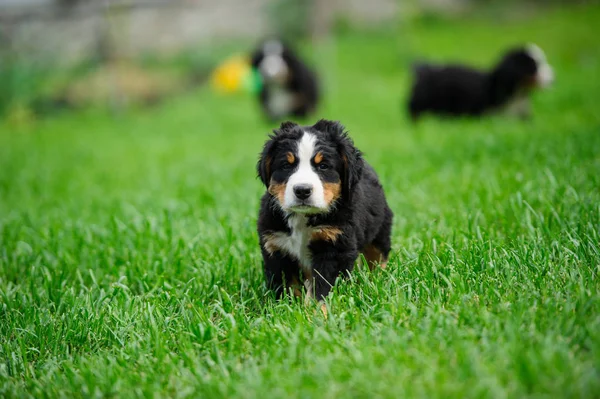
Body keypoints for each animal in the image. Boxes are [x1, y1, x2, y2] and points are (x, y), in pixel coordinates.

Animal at [256, 119, 394, 304]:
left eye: (323, 166)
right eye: (286, 165)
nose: (302, 190)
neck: (302, 218)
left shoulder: (334, 246)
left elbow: (321, 287)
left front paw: (314, 310)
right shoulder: (276, 247)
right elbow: (287, 286)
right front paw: (288, 306)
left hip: (379, 232)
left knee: (377, 257)